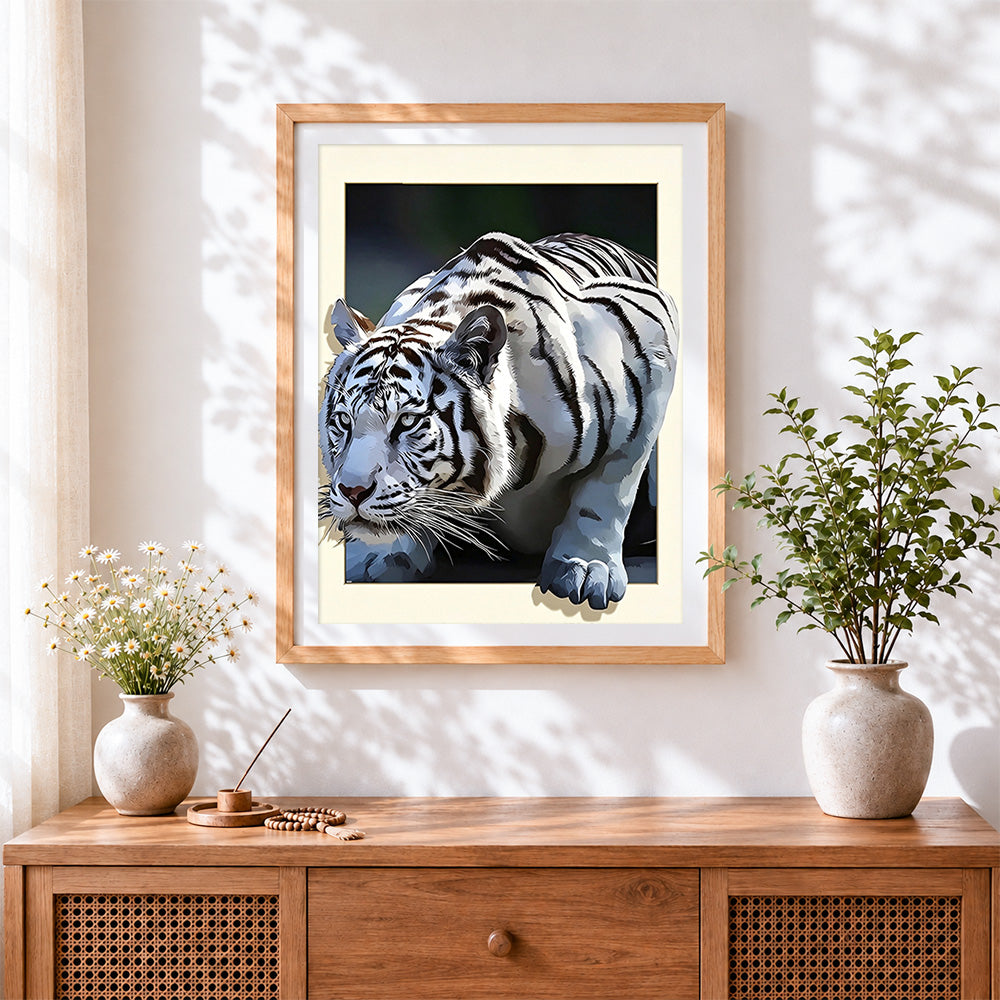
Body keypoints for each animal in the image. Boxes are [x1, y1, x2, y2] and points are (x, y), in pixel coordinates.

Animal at [319, 232, 678, 610]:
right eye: (344, 421)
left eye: (406, 423)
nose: (353, 492)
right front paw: (379, 552)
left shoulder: (652, 339)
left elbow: (608, 488)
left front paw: (584, 567)